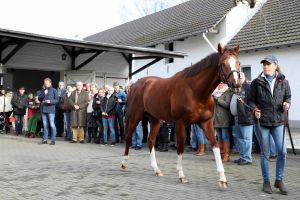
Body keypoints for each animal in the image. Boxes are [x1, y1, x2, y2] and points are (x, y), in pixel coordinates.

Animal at [120, 43, 240, 188]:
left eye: (238, 63)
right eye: (223, 64)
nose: (236, 84)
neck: (195, 91)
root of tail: (135, 85)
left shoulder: (206, 122)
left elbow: (215, 145)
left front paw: (222, 179)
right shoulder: (180, 123)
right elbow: (181, 146)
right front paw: (182, 176)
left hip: (155, 120)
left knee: (151, 140)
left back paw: (156, 169)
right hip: (135, 116)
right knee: (128, 137)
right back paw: (124, 163)